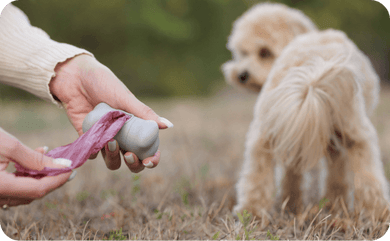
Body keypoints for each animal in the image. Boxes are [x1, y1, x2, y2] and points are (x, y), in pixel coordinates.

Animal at [235, 28, 390, 218]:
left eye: (263, 52)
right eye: (243, 52)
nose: (242, 75)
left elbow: (293, 176)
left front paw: (292, 203)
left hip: (267, 126)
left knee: (256, 173)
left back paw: (251, 211)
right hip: (353, 128)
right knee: (369, 175)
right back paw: (377, 211)